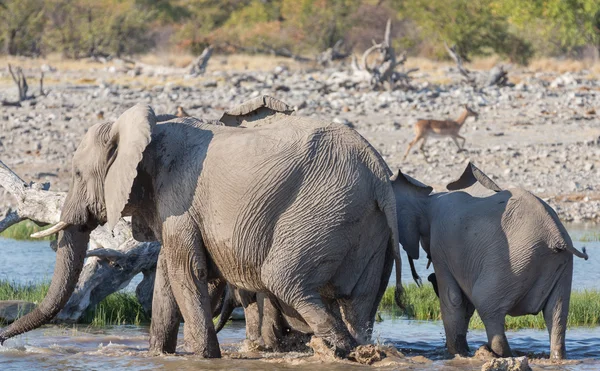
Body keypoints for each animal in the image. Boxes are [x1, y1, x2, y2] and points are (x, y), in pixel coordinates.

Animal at [1, 99, 404, 360]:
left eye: (77, 174)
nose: (4, 340)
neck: (150, 128)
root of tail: (379, 172)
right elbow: (167, 274)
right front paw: (159, 355)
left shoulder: (178, 196)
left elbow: (186, 271)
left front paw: (204, 358)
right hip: (367, 225)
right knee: (359, 303)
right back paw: (360, 349)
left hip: (323, 210)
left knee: (284, 280)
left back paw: (341, 349)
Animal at [394, 163, 584, 360]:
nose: (429, 278)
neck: (430, 199)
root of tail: (556, 236)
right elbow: (464, 303)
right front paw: (462, 353)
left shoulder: (441, 244)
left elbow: (453, 298)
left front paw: (458, 354)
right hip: (558, 265)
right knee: (556, 313)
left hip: (514, 264)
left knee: (486, 304)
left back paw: (501, 355)